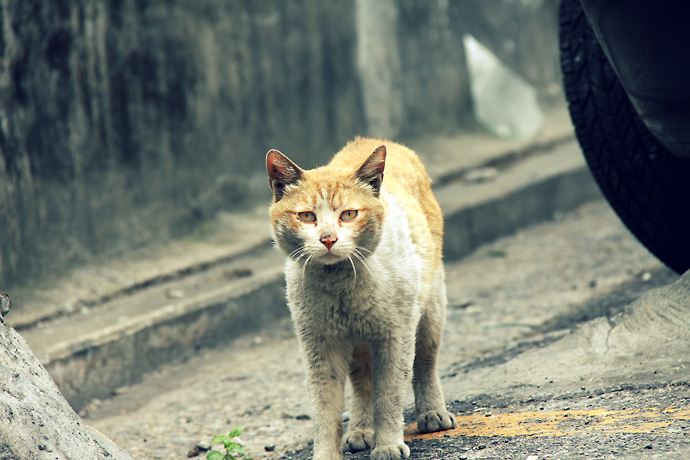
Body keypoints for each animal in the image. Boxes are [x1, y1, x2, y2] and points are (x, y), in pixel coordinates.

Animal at [266, 137, 454, 460]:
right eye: (307, 216)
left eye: (348, 215)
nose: (328, 238)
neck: (340, 286)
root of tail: (377, 141)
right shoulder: (319, 346)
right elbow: (325, 408)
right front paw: (327, 454)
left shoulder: (396, 337)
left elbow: (390, 392)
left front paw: (388, 445)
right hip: (356, 344)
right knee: (362, 382)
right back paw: (361, 430)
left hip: (431, 310)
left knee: (425, 363)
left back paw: (432, 414)